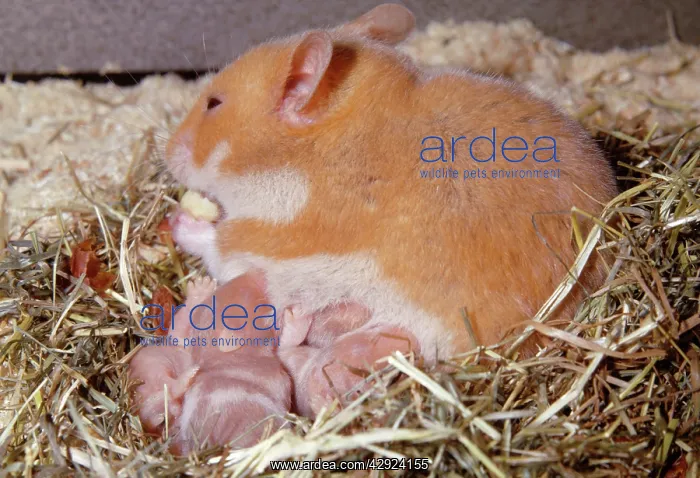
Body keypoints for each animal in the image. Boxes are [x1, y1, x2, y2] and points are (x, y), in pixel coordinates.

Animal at [165, 1, 616, 403]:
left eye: (213, 104)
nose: (165, 154)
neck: (304, 157)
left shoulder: (267, 240)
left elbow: (218, 242)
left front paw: (178, 220)